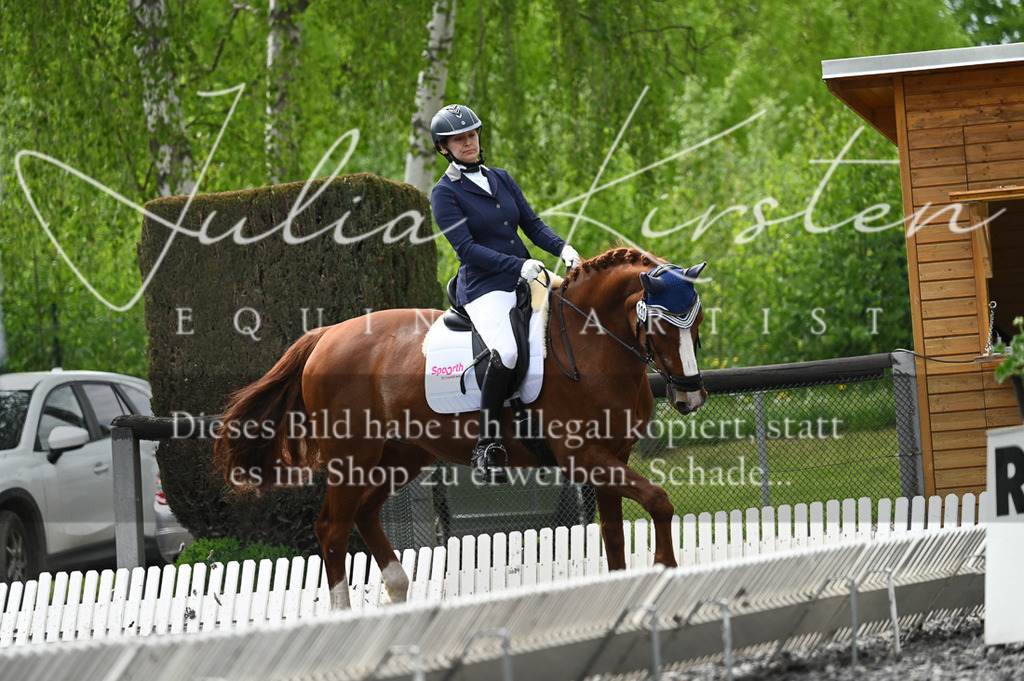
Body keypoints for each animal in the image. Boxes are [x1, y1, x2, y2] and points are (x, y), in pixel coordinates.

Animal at [213, 247, 707, 609]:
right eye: (662, 324)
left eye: (698, 322)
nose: (690, 398)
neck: (591, 347)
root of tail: (326, 335)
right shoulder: (585, 457)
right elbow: (659, 501)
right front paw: (666, 568)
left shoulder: (612, 458)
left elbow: (614, 537)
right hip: (351, 457)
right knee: (332, 529)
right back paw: (344, 617)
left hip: (401, 456)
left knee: (364, 514)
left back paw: (397, 594)